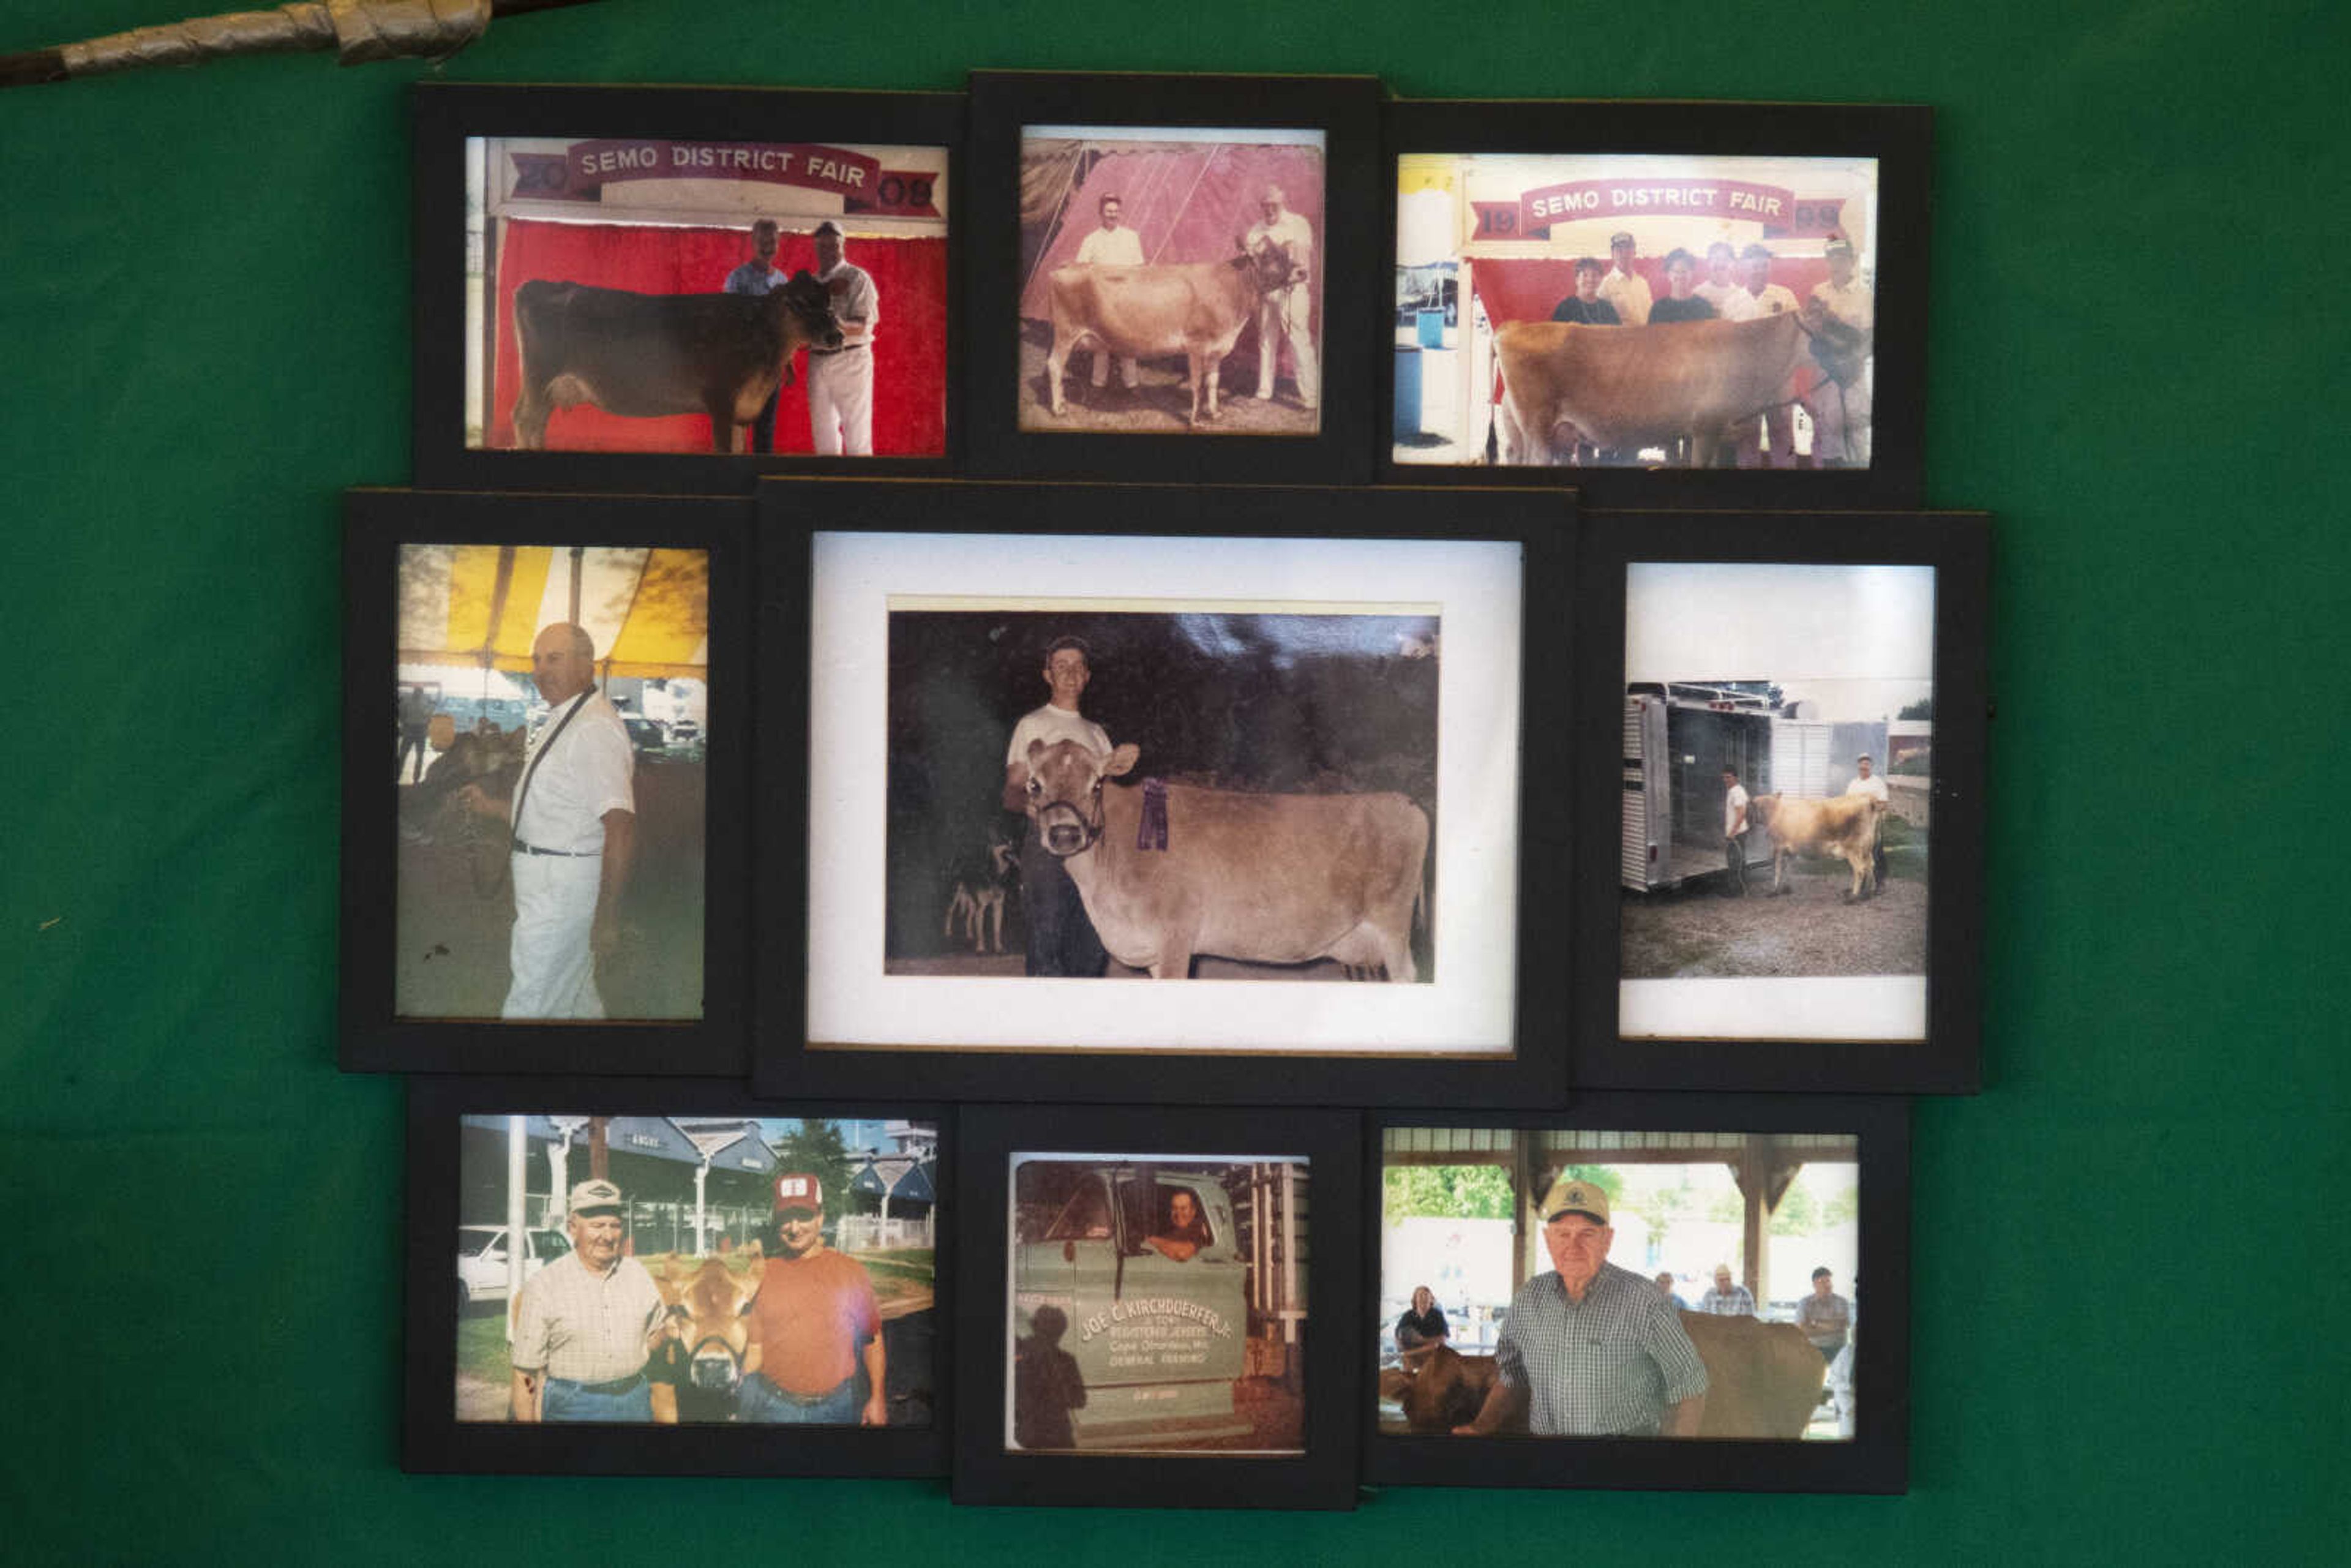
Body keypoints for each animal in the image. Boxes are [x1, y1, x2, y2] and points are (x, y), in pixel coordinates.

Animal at [514, 270, 846, 451]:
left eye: (829, 302)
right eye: (799, 303)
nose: (836, 335)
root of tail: (542, 285)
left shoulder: (742, 411)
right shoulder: (720, 401)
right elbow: (724, 448)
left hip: (545, 387)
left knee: (534, 421)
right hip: (539, 377)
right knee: (525, 419)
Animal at [1048, 241, 1307, 425]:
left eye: (1285, 252)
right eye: (1271, 256)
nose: (1303, 271)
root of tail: (1067, 266)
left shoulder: (1217, 349)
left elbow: (1213, 382)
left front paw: (1214, 413)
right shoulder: (1196, 344)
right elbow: (1197, 384)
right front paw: (1194, 420)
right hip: (1065, 332)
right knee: (1055, 366)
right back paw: (1058, 408)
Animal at [1749, 790, 1890, 902]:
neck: (1775, 811)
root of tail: (1869, 799)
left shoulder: (1777, 846)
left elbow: (1778, 870)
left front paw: (1775, 891)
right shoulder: (1790, 850)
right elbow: (1788, 868)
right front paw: (1787, 888)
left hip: (1854, 848)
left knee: (1860, 870)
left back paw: (1853, 897)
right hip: (1867, 848)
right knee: (1871, 865)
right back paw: (1868, 893)